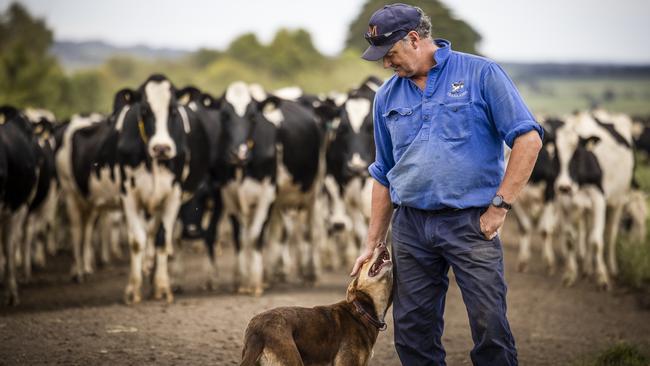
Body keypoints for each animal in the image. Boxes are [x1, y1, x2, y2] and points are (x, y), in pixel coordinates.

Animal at [552, 108, 632, 288]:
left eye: (577, 153)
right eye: (555, 153)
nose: (564, 186)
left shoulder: (599, 199)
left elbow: (596, 241)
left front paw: (602, 277)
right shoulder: (563, 202)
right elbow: (570, 239)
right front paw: (570, 274)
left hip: (618, 200)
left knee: (610, 234)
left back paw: (611, 267)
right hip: (585, 209)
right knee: (587, 233)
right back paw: (587, 267)